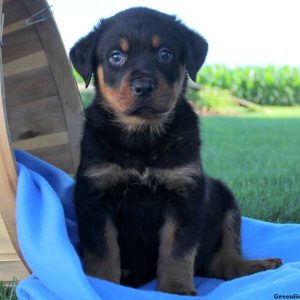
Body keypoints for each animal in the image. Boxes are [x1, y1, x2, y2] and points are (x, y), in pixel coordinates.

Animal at [69, 6, 282, 296]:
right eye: (116, 57)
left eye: (165, 54)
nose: (143, 86)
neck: (143, 138)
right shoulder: (94, 197)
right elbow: (103, 252)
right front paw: (103, 284)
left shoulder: (185, 195)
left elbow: (177, 251)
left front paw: (175, 288)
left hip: (223, 196)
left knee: (223, 259)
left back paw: (255, 266)